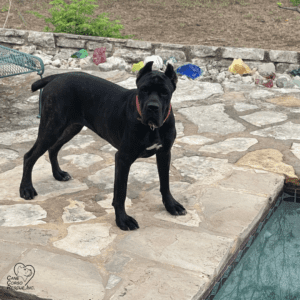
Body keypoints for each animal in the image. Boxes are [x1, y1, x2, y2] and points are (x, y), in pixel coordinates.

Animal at [19, 61, 185, 230]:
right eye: (143, 89)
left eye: (165, 92)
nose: (152, 107)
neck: (152, 128)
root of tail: (58, 76)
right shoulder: (123, 159)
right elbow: (120, 192)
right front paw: (123, 220)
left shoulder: (164, 153)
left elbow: (165, 183)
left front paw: (171, 206)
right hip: (51, 127)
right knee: (29, 156)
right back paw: (26, 189)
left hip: (70, 128)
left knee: (53, 148)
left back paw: (58, 174)